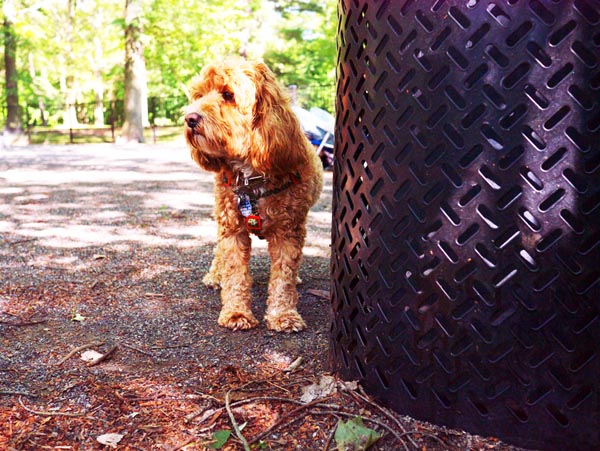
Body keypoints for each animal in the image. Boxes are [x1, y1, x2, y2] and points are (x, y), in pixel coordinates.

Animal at [183, 59, 324, 332]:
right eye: (199, 95)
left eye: (228, 94)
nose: (190, 118)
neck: (252, 178)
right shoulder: (232, 230)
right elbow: (234, 272)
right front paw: (236, 313)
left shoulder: (288, 232)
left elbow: (284, 277)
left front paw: (283, 315)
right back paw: (215, 275)